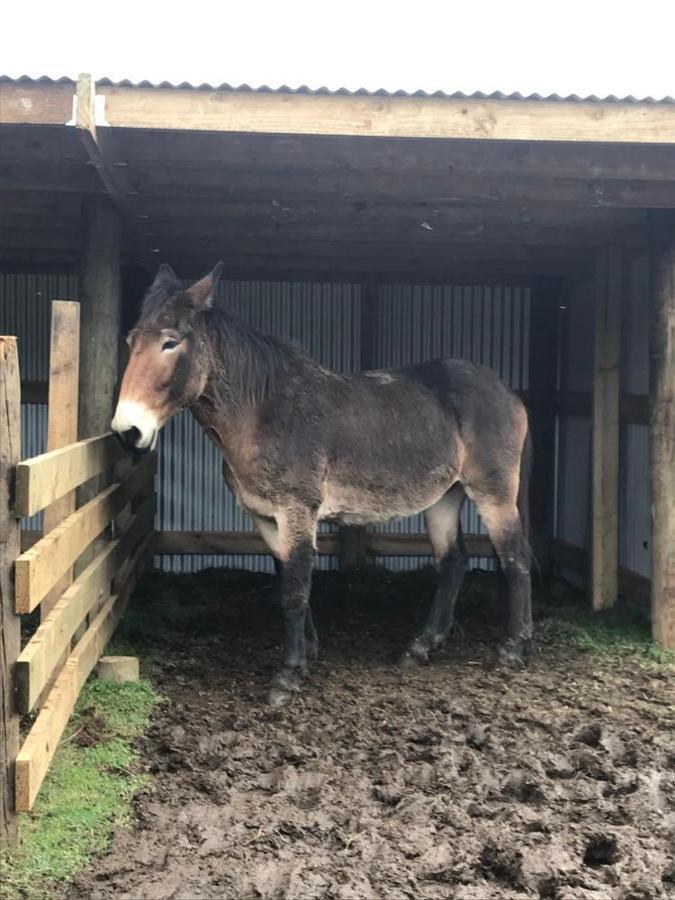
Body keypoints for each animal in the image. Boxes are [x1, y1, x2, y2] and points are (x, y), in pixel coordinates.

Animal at [112, 264, 532, 708]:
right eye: (131, 341)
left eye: (170, 342)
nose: (127, 431)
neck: (265, 412)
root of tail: (507, 393)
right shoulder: (265, 517)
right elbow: (289, 577)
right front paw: (308, 652)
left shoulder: (297, 510)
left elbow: (296, 587)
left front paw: (287, 675)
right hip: (444, 497)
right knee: (453, 564)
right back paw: (421, 647)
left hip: (494, 493)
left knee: (515, 557)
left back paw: (512, 650)